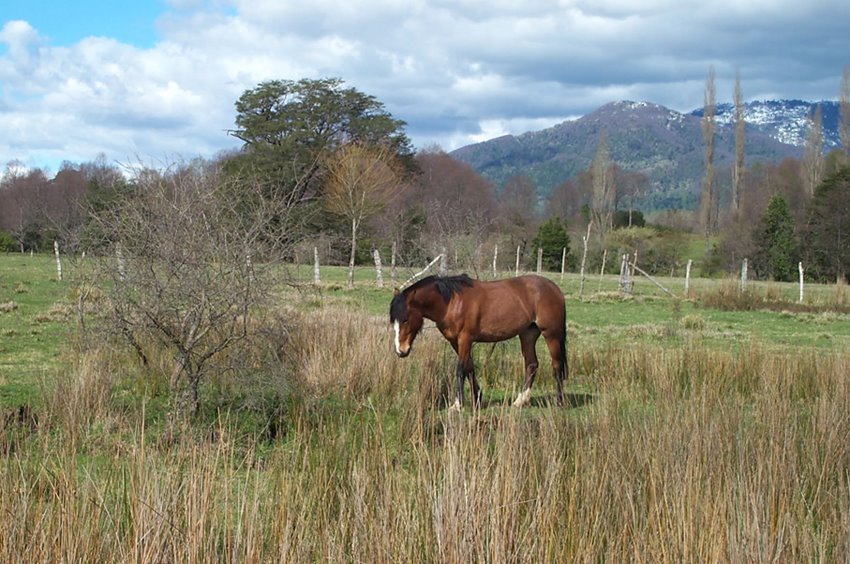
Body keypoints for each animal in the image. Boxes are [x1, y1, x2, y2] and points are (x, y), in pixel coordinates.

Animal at [392, 274, 568, 410]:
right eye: (394, 321)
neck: (451, 303)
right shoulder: (455, 341)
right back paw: (520, 401)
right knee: (531, 364)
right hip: (528, 334)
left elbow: (460, 370)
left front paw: (457, 405)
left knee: (557, 365)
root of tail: (555, 288)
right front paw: (477, 399)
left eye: (405, 320)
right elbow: (469, 368)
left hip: (551, 334)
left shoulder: (465, 339)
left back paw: (559, 402)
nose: (401, 351)